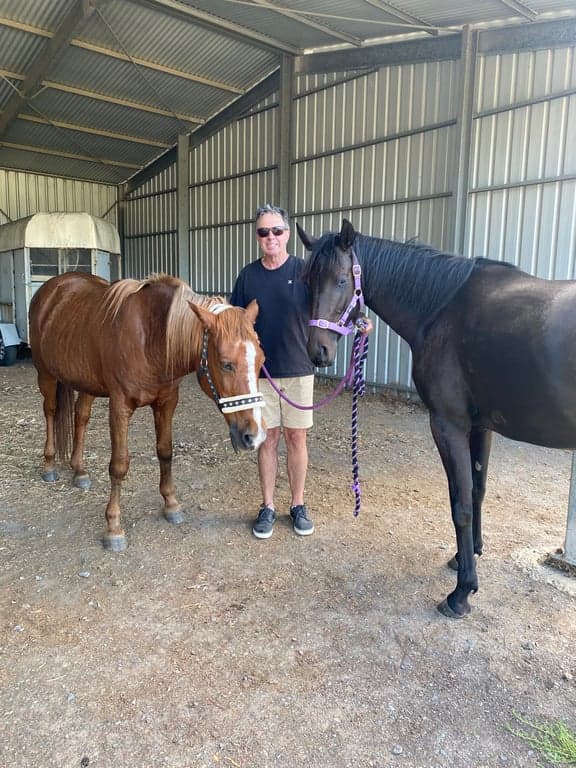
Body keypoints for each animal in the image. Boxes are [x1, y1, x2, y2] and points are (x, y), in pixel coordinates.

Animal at [28, 271, 266, 552]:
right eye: (226, 364)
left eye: (261, 360)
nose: (255, 436)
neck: (151, 338)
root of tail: (52, 287)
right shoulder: (119, 407)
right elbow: (119, 465)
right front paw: (113, 527)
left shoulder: (166, 403)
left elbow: (165, 452)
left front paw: (171, 505)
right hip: (46, 375)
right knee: (51, 412)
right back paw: (49, 466)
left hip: (86, 383)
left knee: (81, 416)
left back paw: (79, 471)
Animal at [298, 218, 576, 618]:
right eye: (306, 280)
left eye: (341, 280)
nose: (318, 351)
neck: (441, 308)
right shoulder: (481, 426)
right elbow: (477, 491)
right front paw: (467, 556)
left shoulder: (448, 425)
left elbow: (460, 505)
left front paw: (461, 592)